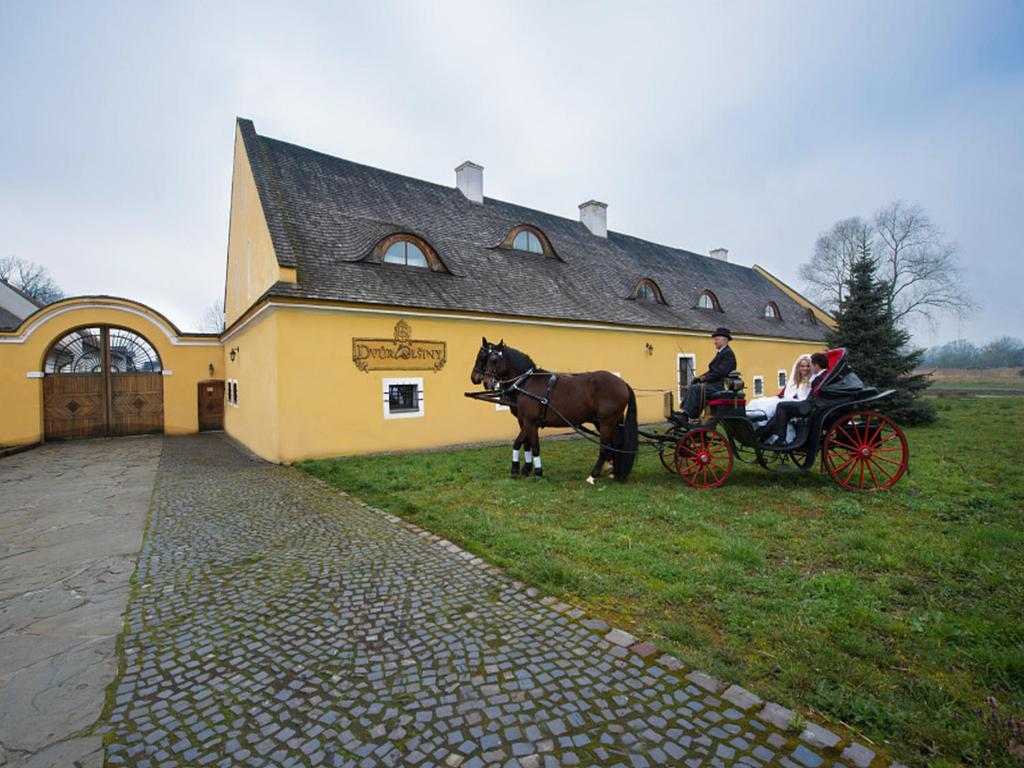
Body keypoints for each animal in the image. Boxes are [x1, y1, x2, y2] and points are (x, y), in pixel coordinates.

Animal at [473, 339, 634, 483]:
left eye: (493, 359)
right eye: (483, 357)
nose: (484, 381)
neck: (526, 383)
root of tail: (622, 383)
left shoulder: (530, 422)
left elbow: (527, 445)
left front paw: (534, 471)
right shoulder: (526, 422)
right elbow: (526, 444)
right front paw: (525, 469)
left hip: (607, 421)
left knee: (605, 446)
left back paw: (593, 475)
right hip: (608, 421)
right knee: (616, 444)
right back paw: (615, 472)